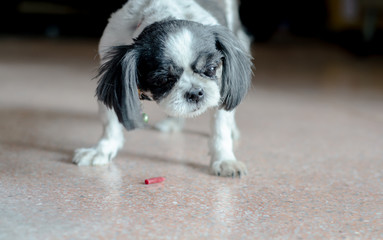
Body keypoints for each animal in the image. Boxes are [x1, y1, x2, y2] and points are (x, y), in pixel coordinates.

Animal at [73, 0, 254, 176]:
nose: (195, 93)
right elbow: (109, 123)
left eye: (211, 69)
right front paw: (101, 150)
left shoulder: (222, 85)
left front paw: (224, 160)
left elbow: (220, 128)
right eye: (163, 80)